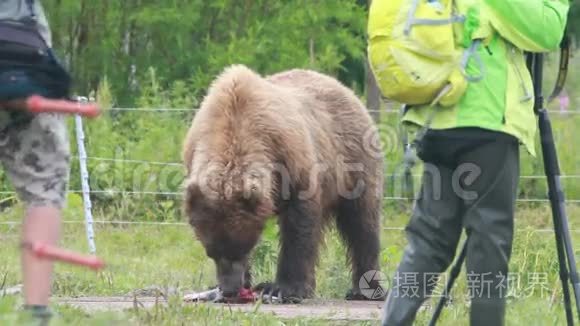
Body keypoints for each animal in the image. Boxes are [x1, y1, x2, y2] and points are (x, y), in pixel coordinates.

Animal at [184, 64, 386, 304]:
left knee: (361, 222)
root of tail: (344, 88)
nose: (230, 290)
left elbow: (298, 225)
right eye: (211, 251)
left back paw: (364, 289)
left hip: (352, 161)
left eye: (243, 248)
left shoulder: (290, 159)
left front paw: (284, 288)